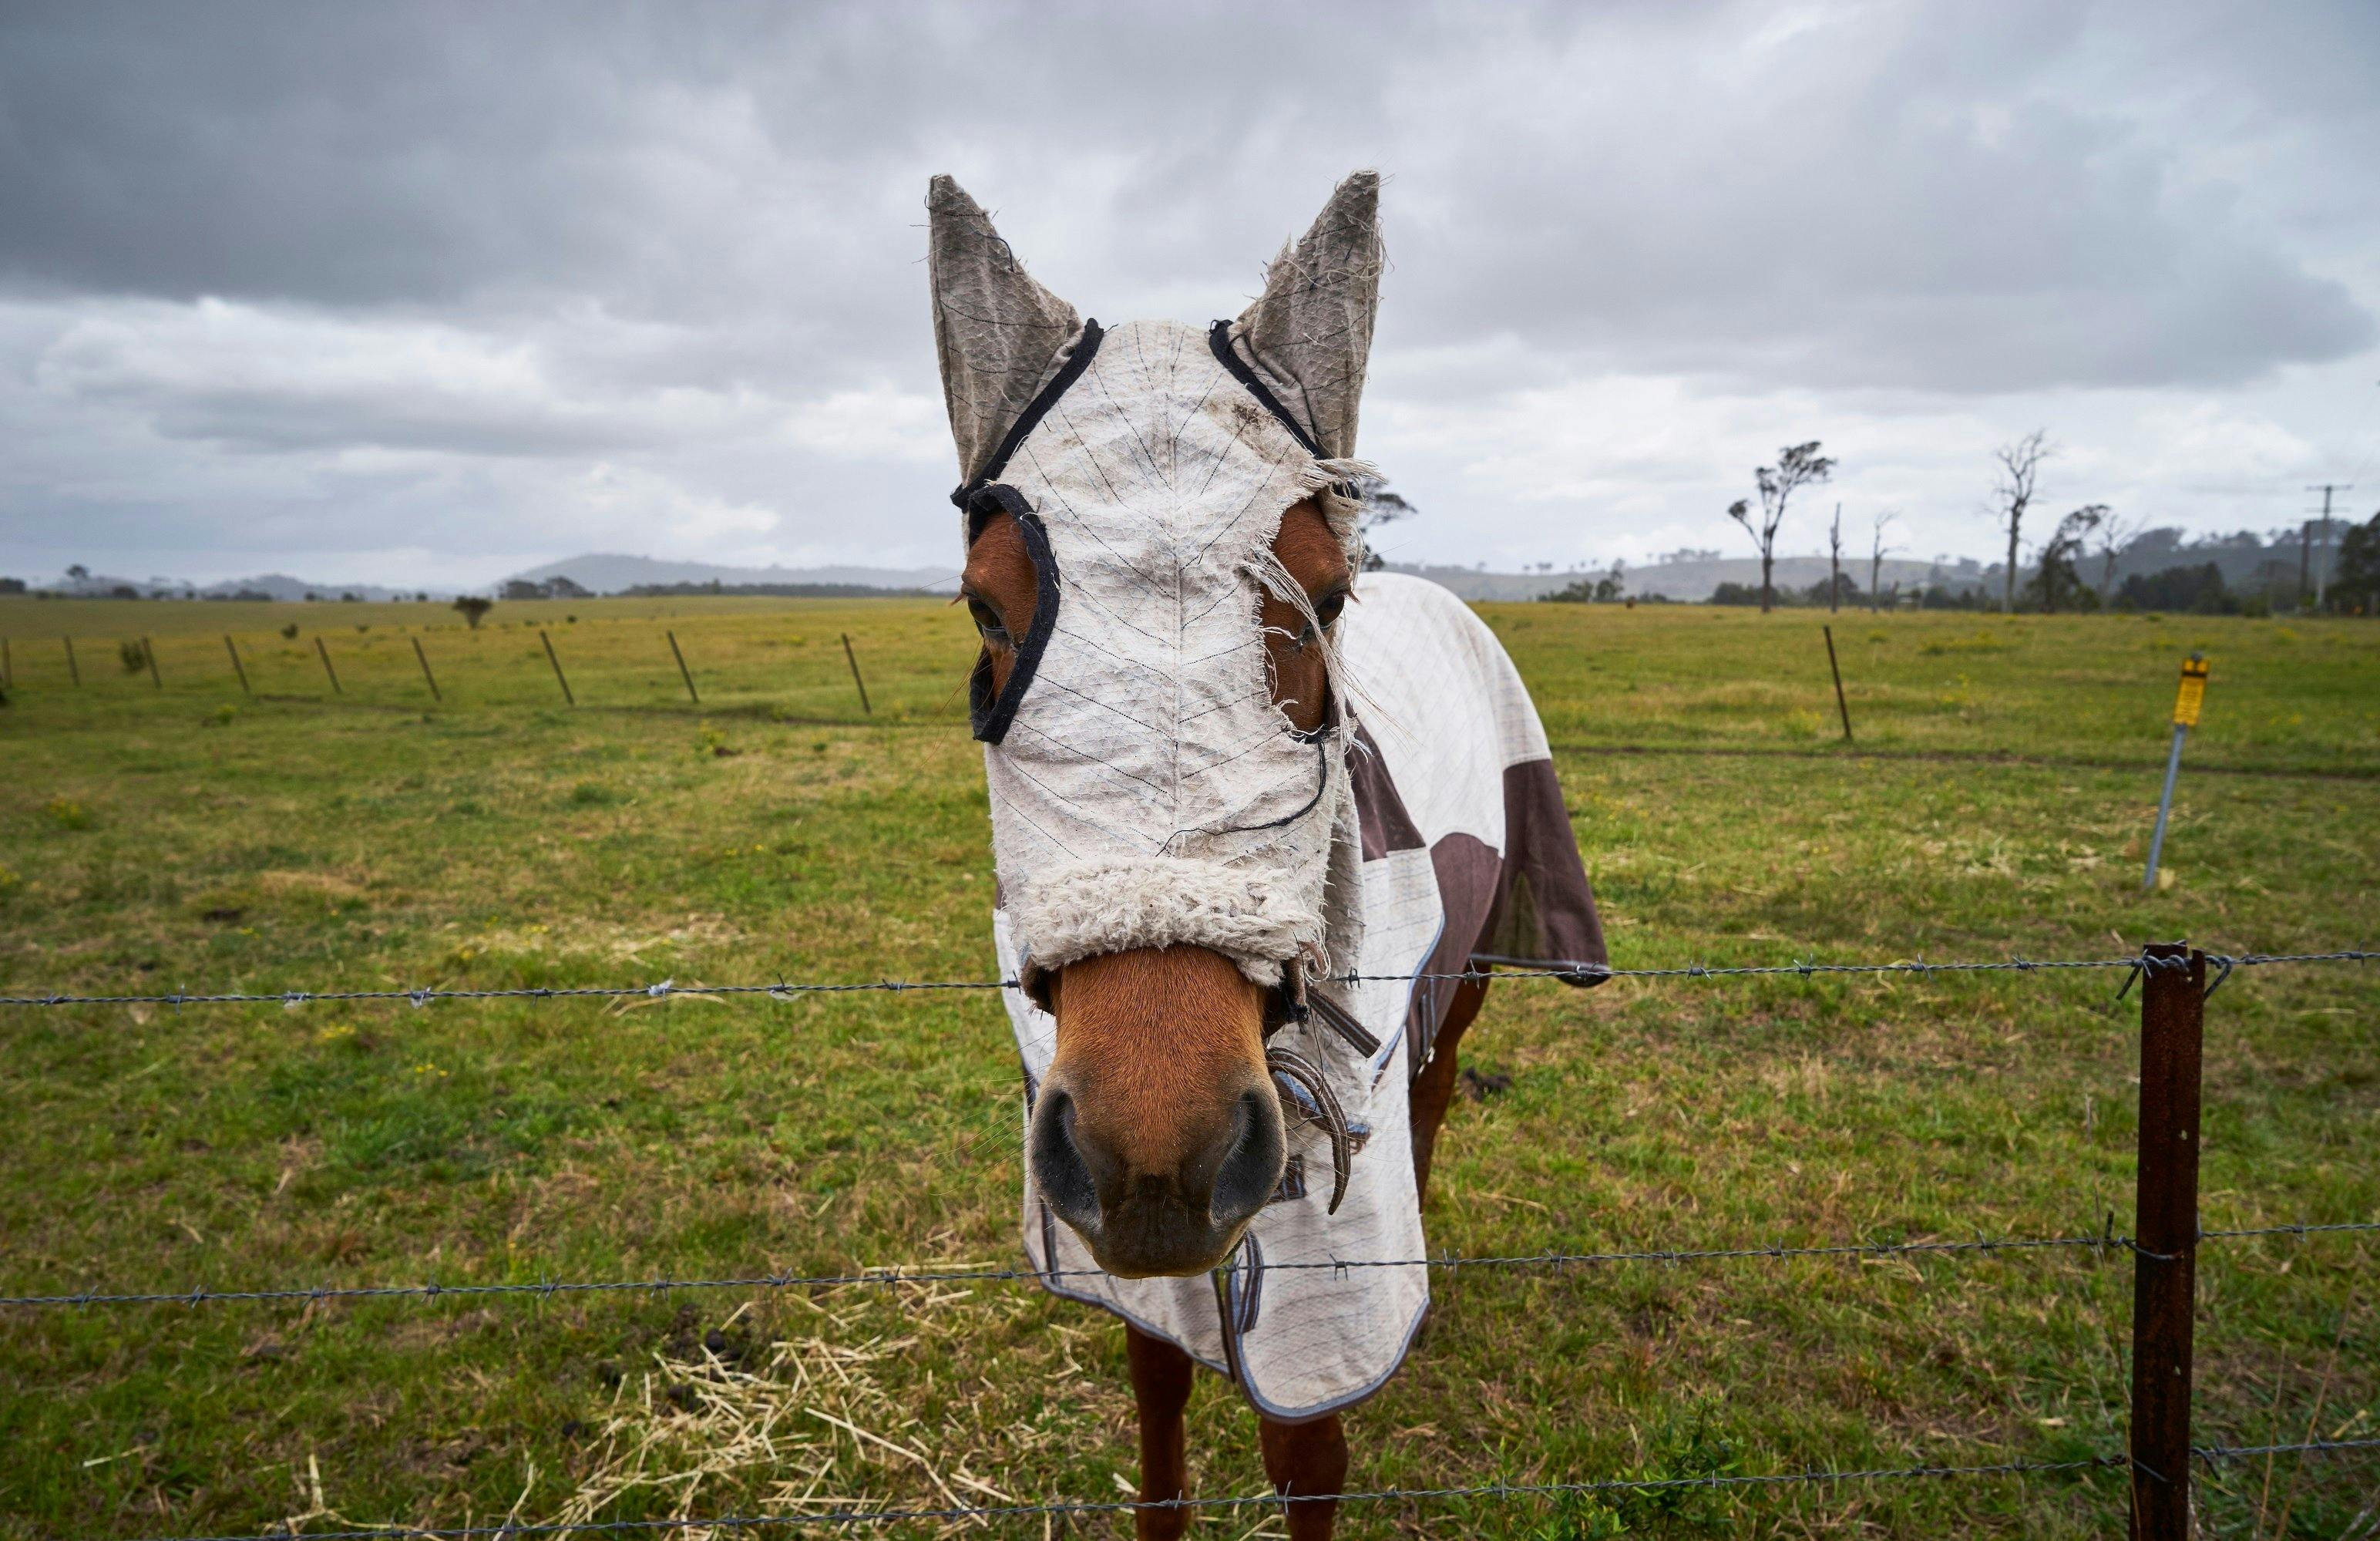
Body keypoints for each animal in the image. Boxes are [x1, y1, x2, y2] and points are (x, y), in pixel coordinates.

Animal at [927, 170, 1607, 1539]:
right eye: (984, 606)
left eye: (1323, 598)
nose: (1158, 1149)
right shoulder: (1145, 1261)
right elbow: (1159, 1414)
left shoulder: (1315, 1299)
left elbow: (1307, 1456)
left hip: (1468, 987)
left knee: (1433, 1100)